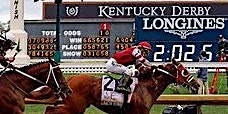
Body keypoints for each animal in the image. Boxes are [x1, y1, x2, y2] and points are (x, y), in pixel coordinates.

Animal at [44, 58, 198, 113]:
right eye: (184, 72)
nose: (196, 85)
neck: (146, 88)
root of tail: (69, 79)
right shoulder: (140, 112)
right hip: (75, 107)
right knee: (49, 109)